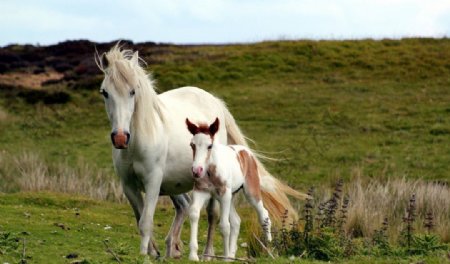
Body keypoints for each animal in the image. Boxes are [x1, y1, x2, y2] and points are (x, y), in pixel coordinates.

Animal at [185, 118, 272, 262]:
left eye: (209, 146)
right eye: (192, 145)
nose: (197, 171)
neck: (211, 171)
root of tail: (246, 152)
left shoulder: (224, 194)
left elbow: (225, 226)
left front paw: (224, 258)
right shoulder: (201, 192)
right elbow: (193, 214)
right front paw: (193, 255)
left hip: (250, 192)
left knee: (263, 214)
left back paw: (268, 248)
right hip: (230, 196)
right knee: (236, 221)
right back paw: (232, 256)